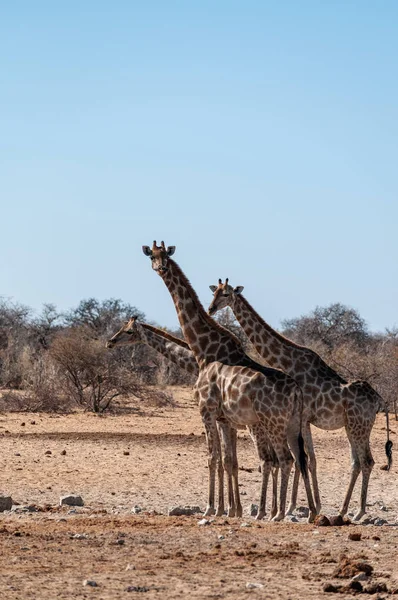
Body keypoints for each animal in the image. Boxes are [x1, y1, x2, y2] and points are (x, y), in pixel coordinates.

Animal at [143, 241, 318, 524]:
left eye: (166, 257)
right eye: (152, 257)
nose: (160, 268)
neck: (203, 352)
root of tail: (296, 391)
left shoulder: (206, 411)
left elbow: (213, 457)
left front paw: (211, 508)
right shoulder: (226, 419)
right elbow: (228, 460)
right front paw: (231, 509)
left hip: (273, 423)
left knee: (284, 459)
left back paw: (277, 514)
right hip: (292, 423)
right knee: (300, 458)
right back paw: (310, 512)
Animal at [207, 278, 394, 516]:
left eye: (226, 294)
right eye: (214, 292)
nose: (211, 309)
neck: (287, 361)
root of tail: (380, 400)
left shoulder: (302, 418)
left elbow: (302, 459)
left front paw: (290, 508)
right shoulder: (303, 421)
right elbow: (308, 459)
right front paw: (307, 506)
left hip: (358, 426)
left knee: (367, 461)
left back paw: (359, 512)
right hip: (355, 426)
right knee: (357, 462)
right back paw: (343, 510)